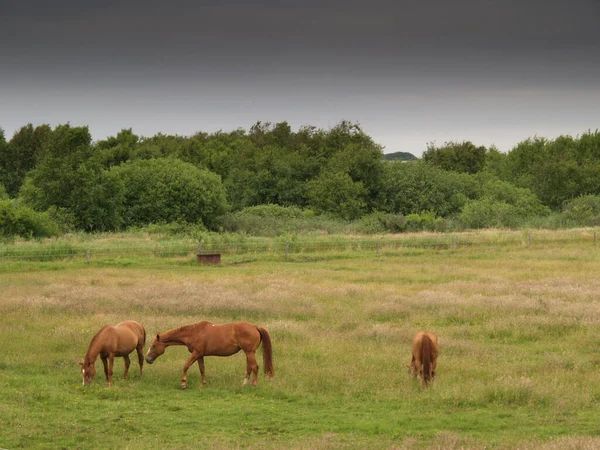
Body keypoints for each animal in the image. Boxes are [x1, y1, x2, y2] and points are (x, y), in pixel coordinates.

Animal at [146, 320, 276, 390]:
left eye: (154, 345)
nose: (148, 359)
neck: (194, 333)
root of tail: (255, 327)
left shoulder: (196, 353)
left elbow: (186, 366)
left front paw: (183, 384)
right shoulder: (200, 355)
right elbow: (202, 369)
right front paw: (203, 384)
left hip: (249, 352)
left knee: (255, 367)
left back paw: (253, 385)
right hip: (248, 353)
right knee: (249, 368)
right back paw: (244, 384)